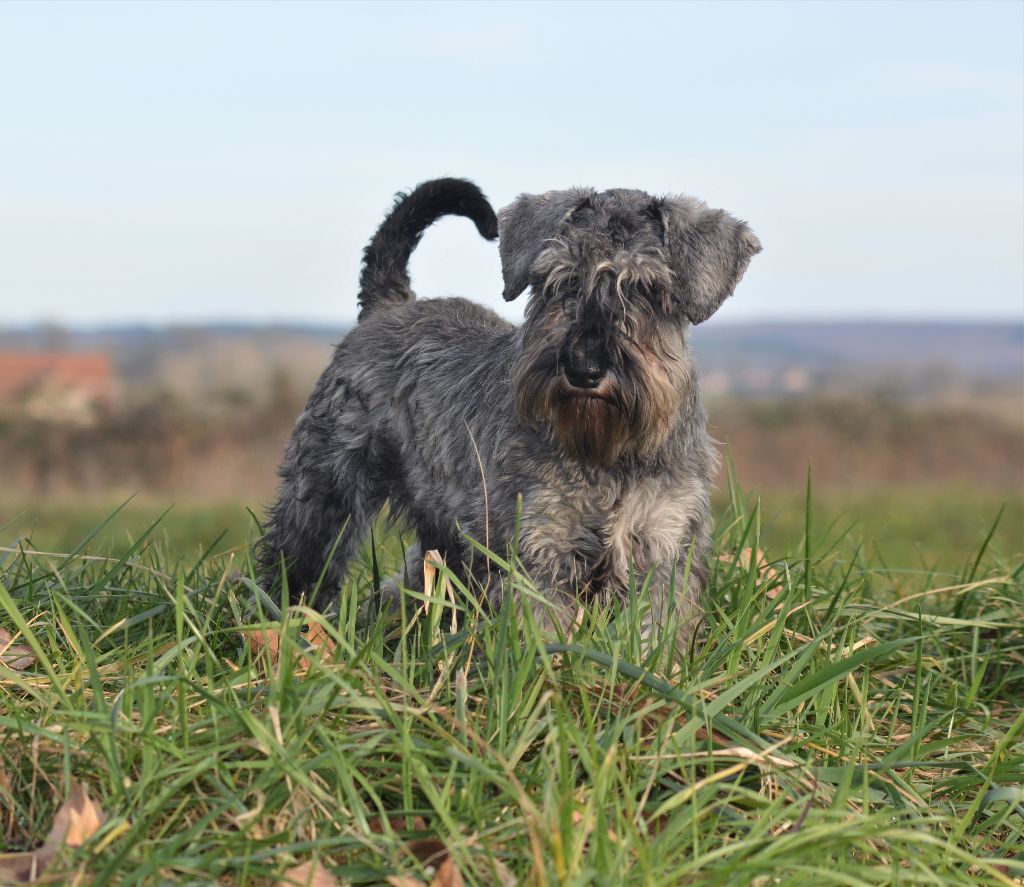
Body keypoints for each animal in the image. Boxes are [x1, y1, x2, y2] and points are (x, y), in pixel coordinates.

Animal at [262, 174, 761, 643]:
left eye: (646, 288)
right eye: (560, 282)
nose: (583, 368)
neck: (606, 454)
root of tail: (387, 305)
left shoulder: (663, 550)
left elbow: (651, 635)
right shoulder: (537, 550)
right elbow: (541, 634)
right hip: (325, 494)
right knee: (295, 563)